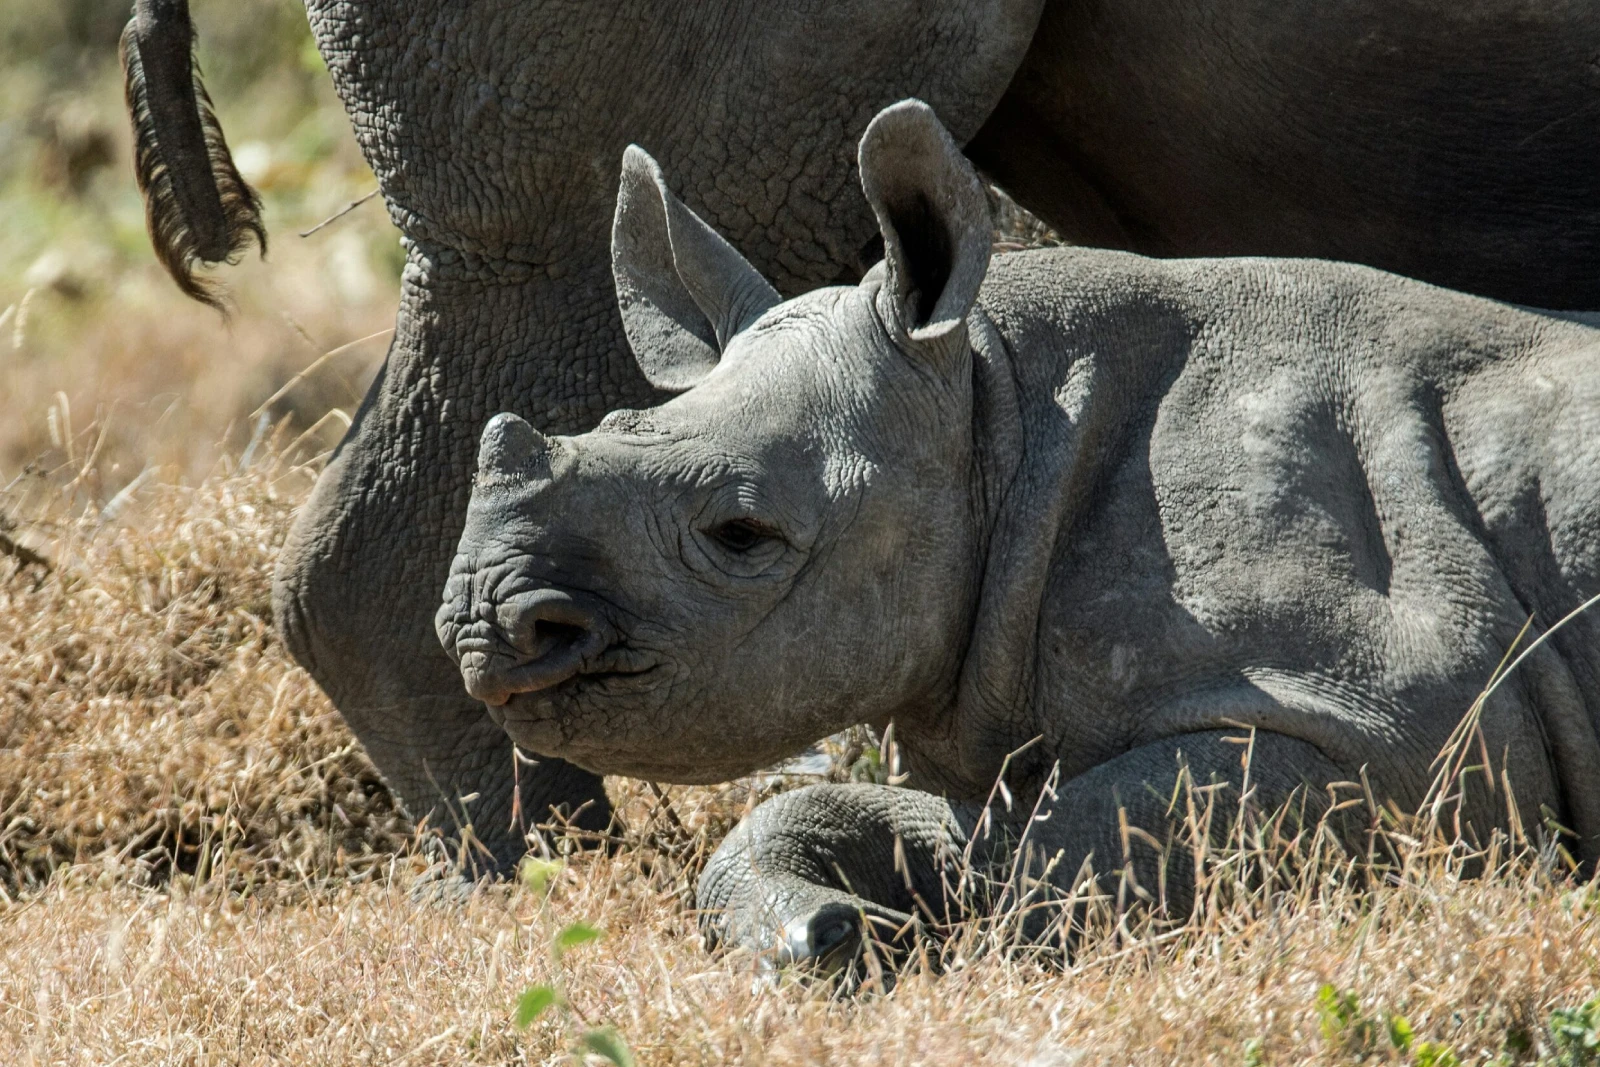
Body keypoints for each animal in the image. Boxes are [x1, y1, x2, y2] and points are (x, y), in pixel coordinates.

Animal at [125, 0, 1600, 870]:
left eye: (740, 532)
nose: (491, 623)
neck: (1005, 412)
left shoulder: (1399, 729)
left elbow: (1045, 854)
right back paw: (557, 891)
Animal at [437, 100, 1600, 962]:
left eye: (739, 532)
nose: (481, 626)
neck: (996, 413)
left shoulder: (1395, 732)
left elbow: (1055, 863)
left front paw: (923, 946)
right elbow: (911, 828)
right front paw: (831, 932)